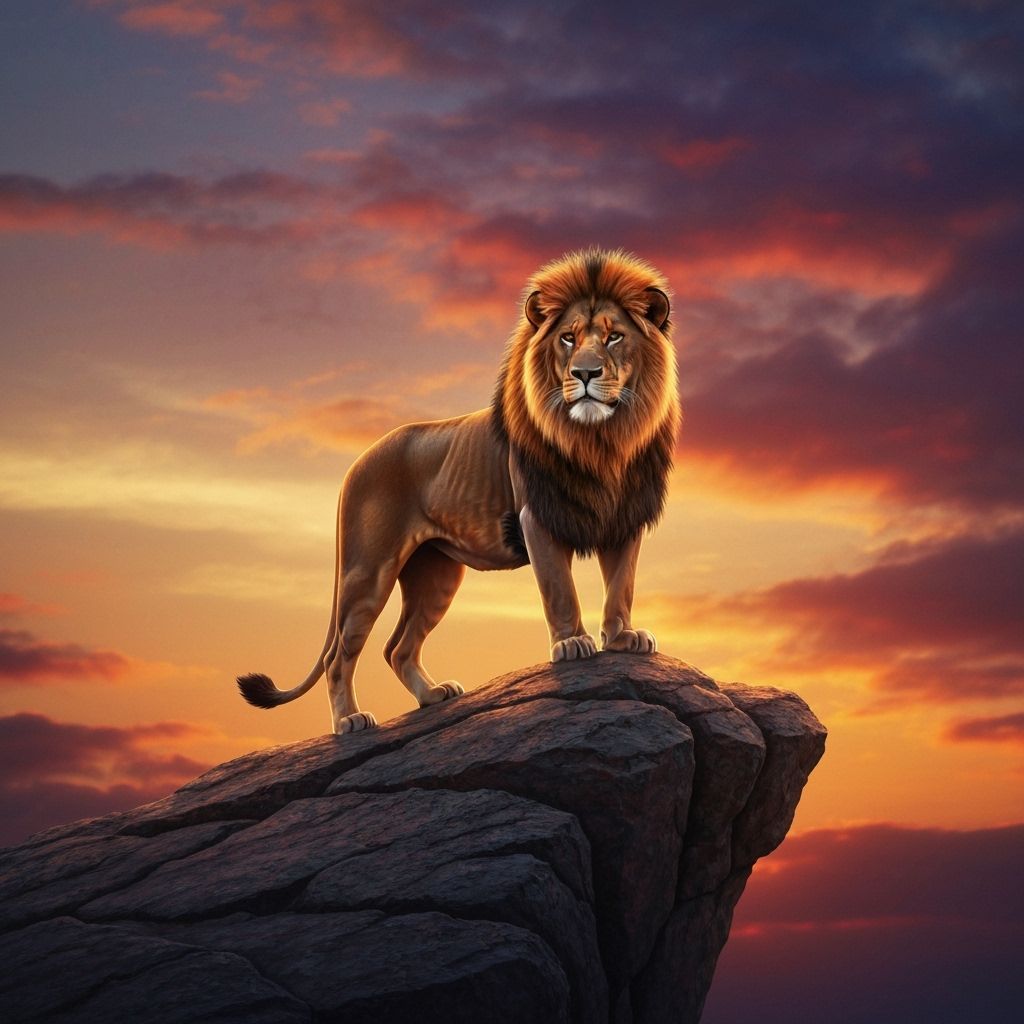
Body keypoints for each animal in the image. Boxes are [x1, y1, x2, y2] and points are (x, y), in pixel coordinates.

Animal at [238, 248, 681, 733]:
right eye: (567, 338)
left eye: (615, 336)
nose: (585, 373)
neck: (603, 442)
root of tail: (356, 462)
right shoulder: (535, 519)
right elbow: (560, 587)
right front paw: (573, 644)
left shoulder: (625, 519)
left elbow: (622, 585)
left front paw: (622, 638)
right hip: (367, 572)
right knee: (340, 655)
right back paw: (350, 721)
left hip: (436, 574)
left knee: (398, 648)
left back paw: (432, 695)